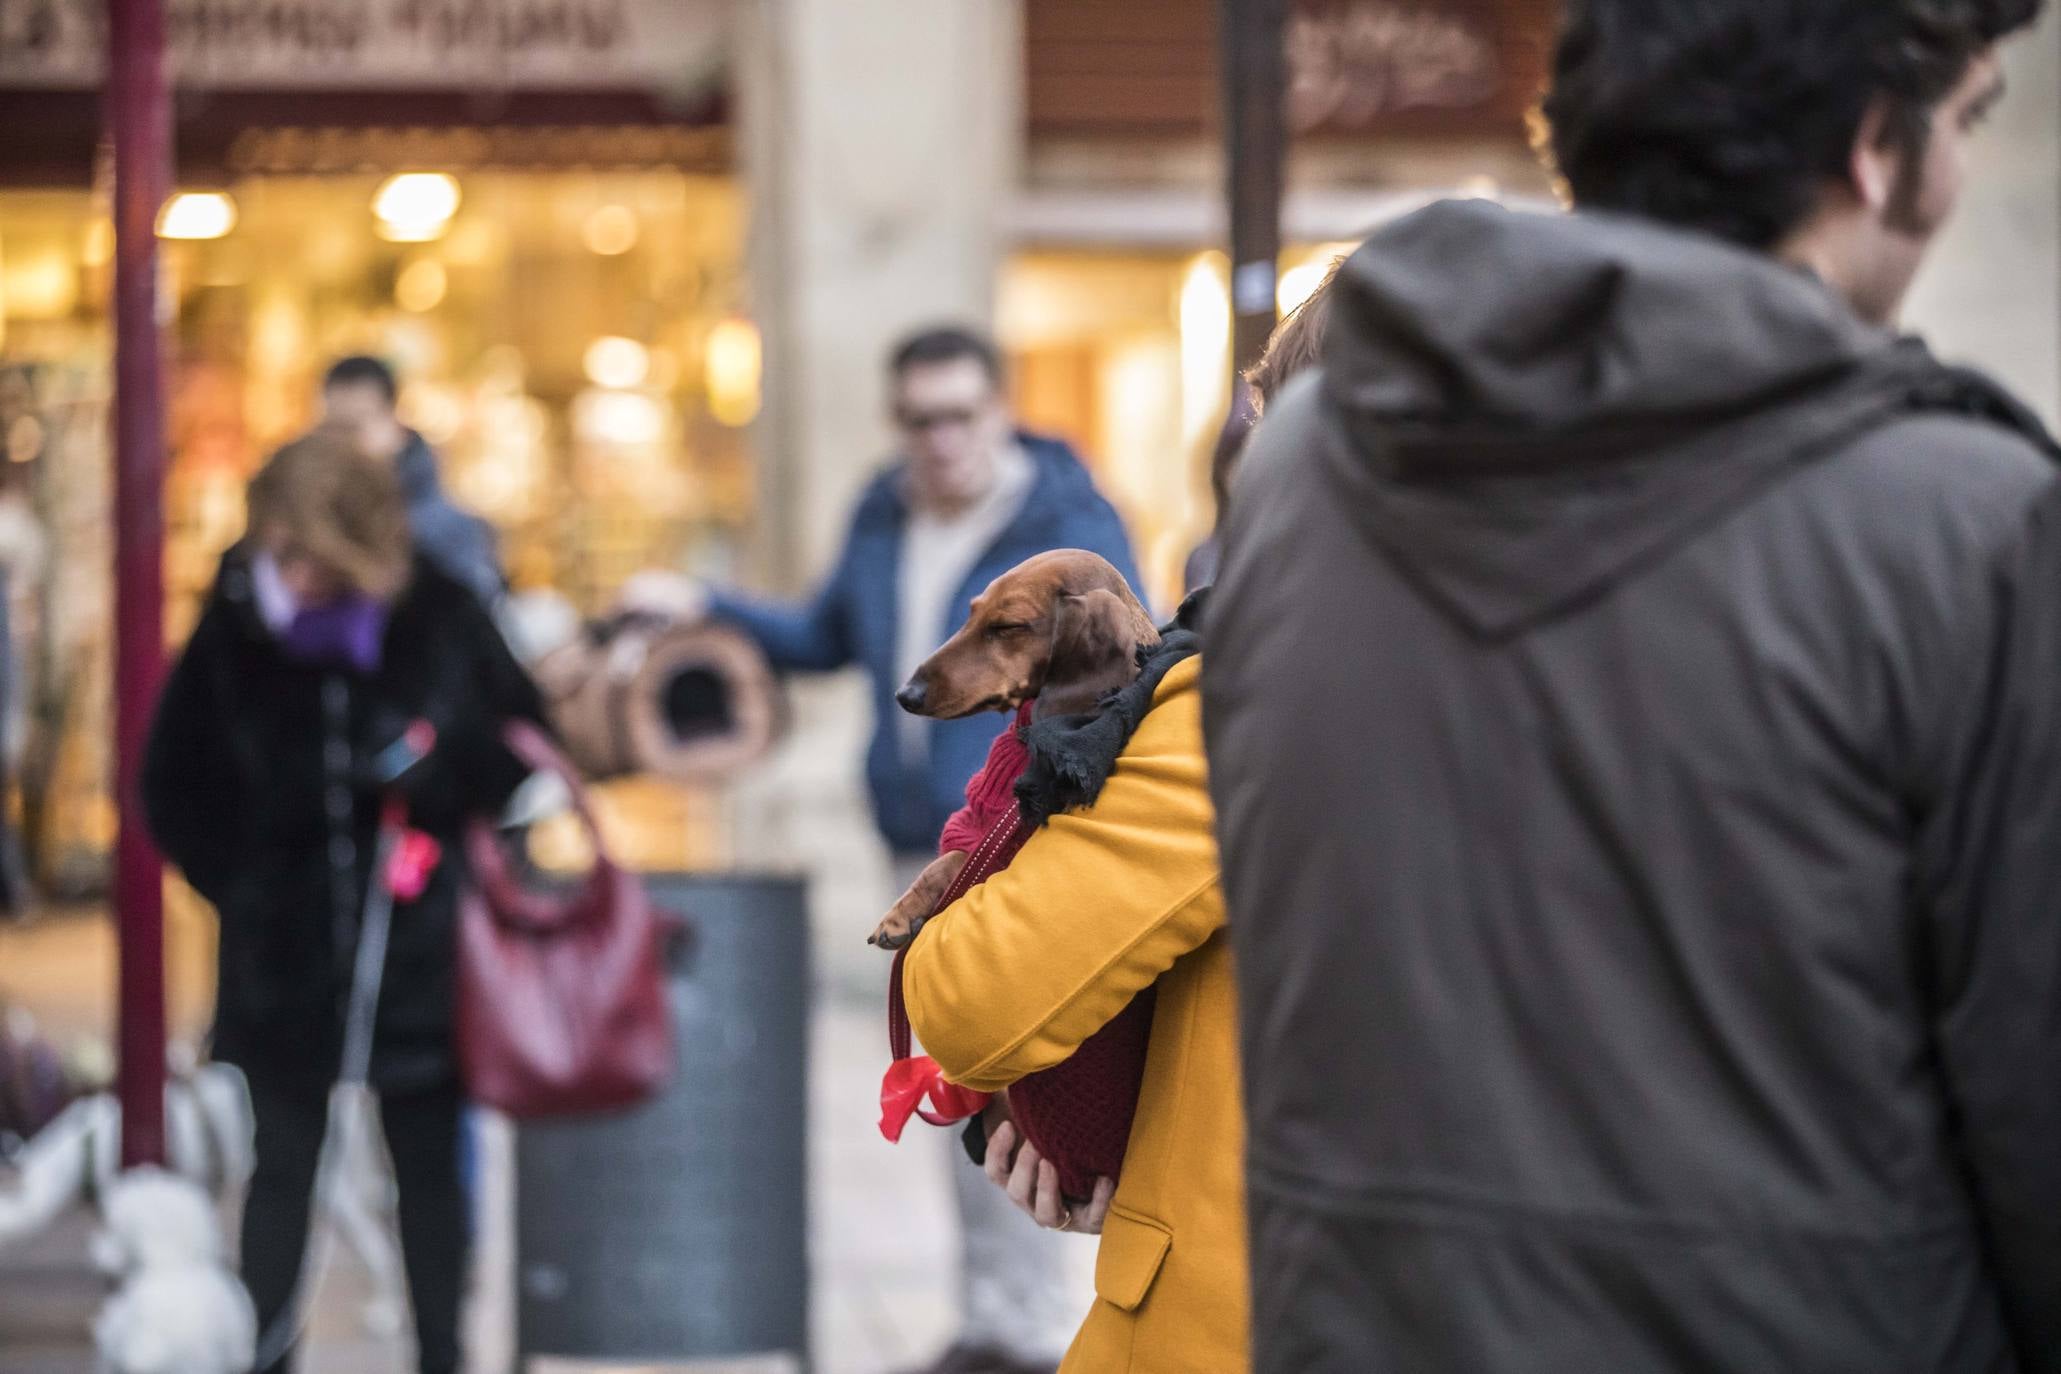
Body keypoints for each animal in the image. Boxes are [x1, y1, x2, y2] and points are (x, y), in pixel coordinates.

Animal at [869, 543, 1162, 951]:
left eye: (1007, 627)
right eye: (972, 614)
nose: (906, 695)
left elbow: (961, 861)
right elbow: (948, 858)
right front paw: (900, 913)